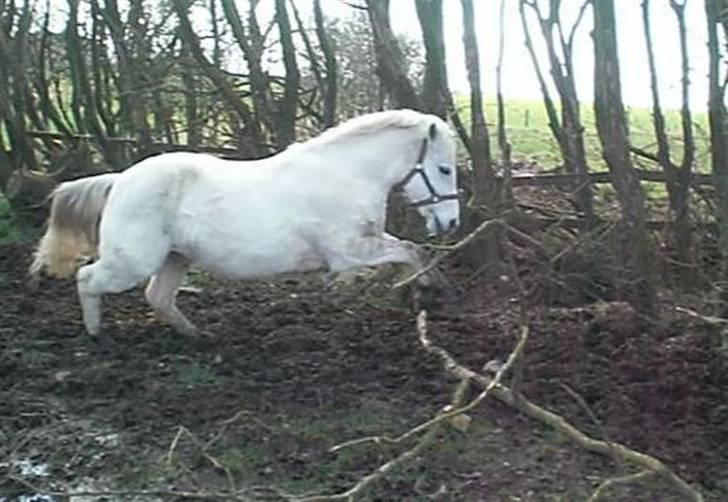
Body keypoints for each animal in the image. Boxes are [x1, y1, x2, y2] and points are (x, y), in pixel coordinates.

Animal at [31, 110, 460, 338]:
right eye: (444, 168)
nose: (452, 221)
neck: (346, 174)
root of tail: (120, 179)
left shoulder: (364, 244)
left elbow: (409, 250)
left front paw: (417, 290)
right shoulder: (349, 252)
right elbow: (410, 250)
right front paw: (425, 289)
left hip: (176, 257)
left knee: (158, 297)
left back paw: (196, 335)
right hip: (132, 262)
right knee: (88, 279)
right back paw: (95, 333)